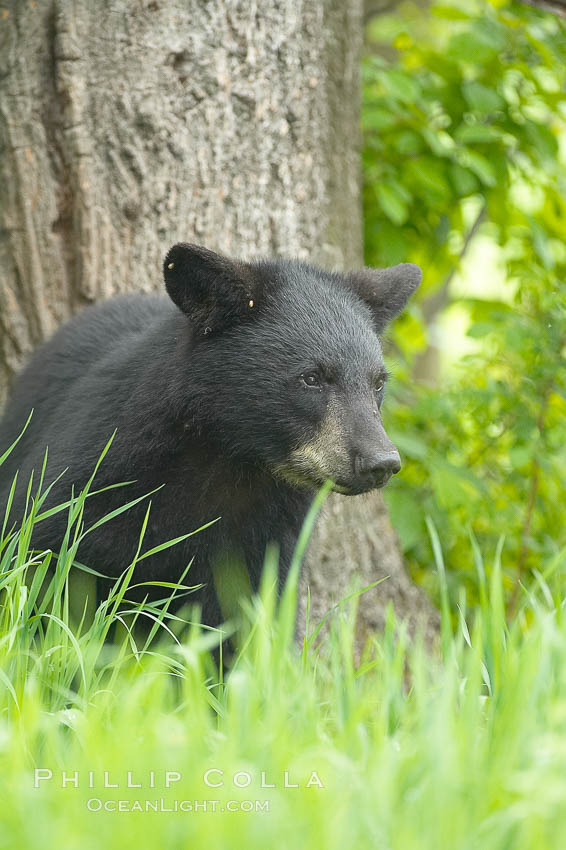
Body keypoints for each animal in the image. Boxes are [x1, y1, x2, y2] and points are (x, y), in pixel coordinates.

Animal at [0, 242, 422, 628]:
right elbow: (38, 565)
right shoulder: (91, 478)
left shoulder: (265, 537)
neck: (227, 461)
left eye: (378, 382)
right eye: (312, 377)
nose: (381, 462)